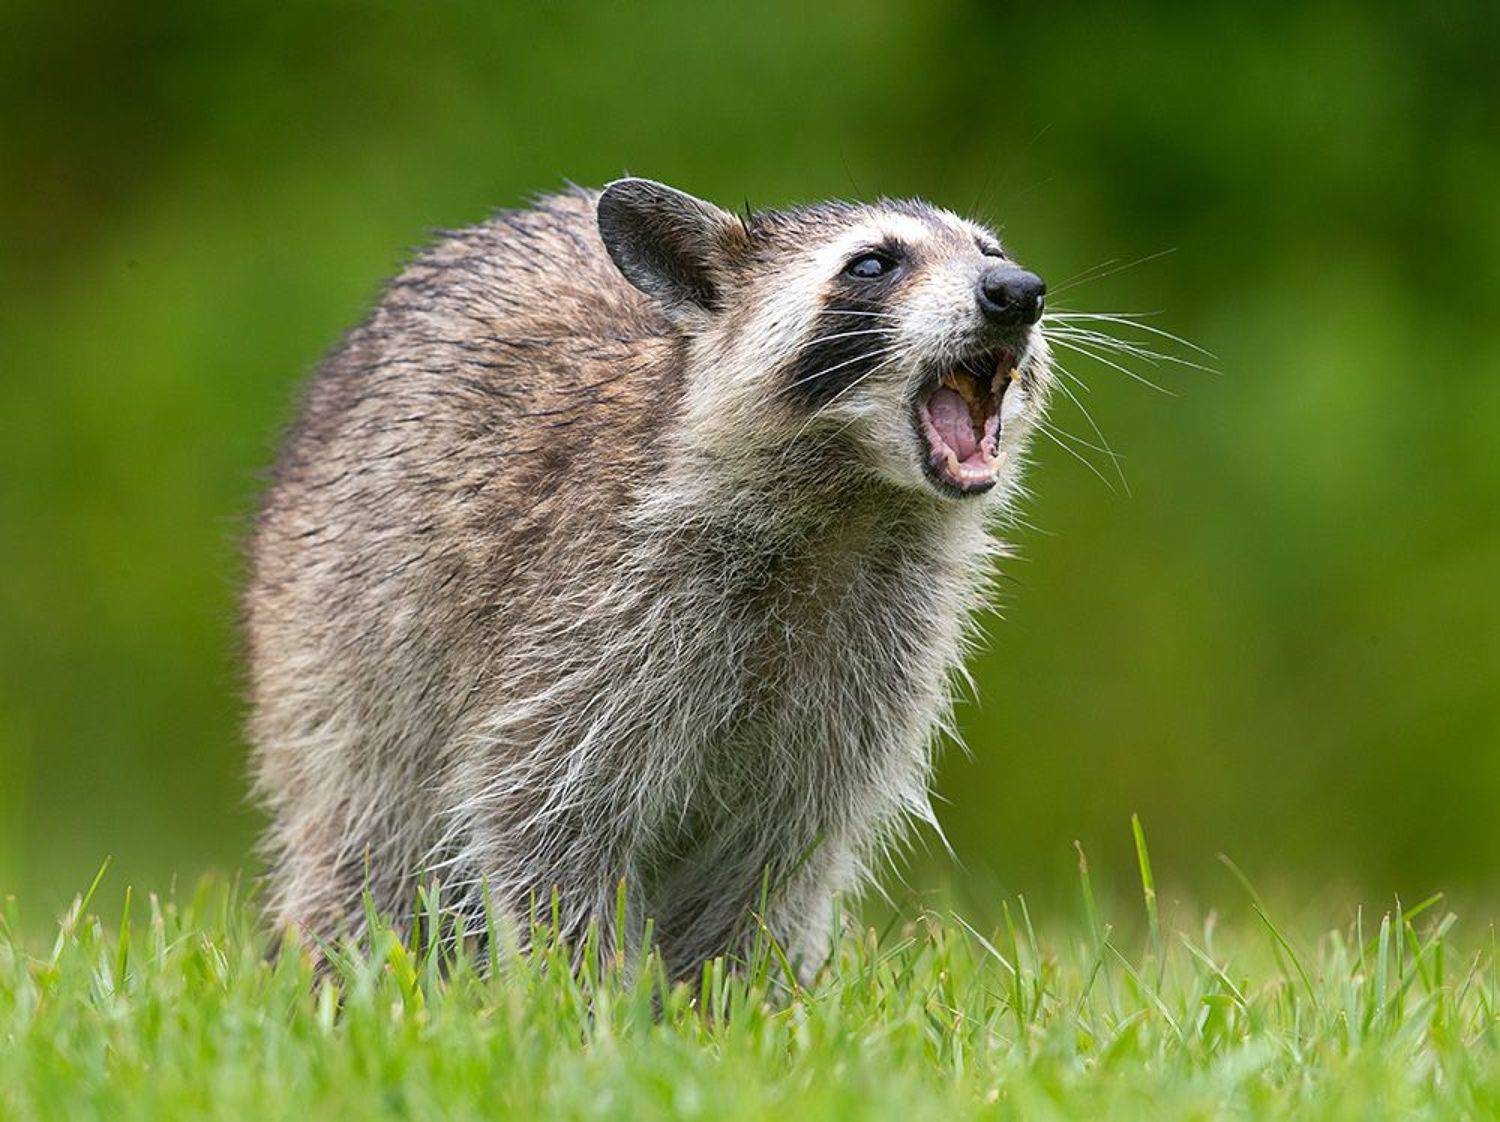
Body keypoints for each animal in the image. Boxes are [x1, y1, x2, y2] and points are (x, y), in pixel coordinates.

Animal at [246, 178, 1051, 978]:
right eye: (874, 264)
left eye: (990, 250)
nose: (1016, 290)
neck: (859, 499)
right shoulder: (587, 611)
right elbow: (543, 817)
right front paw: (584, 990)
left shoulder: (871, 661)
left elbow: (769, 856)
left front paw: (732, 992)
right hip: (337, 646)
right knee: (370, 834)